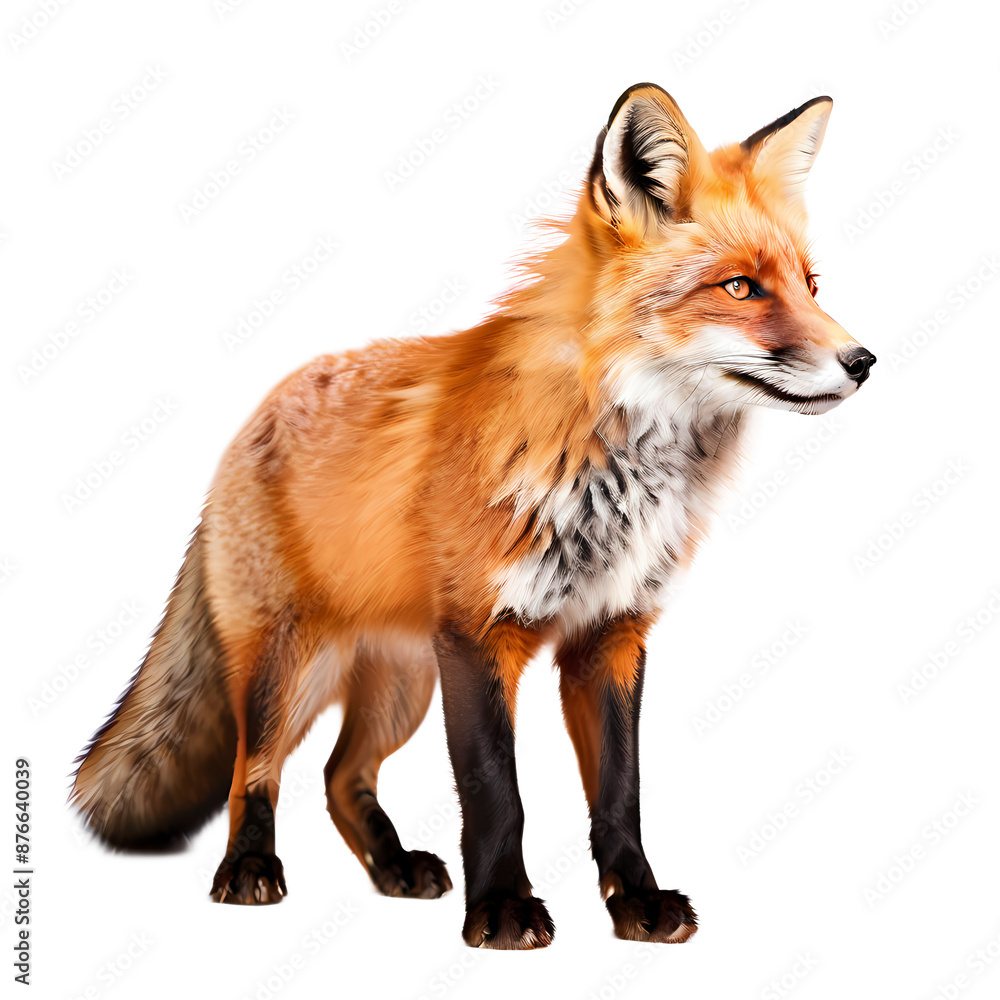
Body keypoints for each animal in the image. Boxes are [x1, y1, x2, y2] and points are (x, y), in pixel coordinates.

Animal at [70, 82, 875, 949]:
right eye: (739, 288)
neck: (605, 464)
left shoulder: (611, 635)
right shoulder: (481, 636)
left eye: (811, 285)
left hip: (402, 683)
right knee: (254, 769)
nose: (863, 361)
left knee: (341, 775)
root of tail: (252, 421)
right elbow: (497, 793)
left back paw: (394, 867)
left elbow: (620, 794)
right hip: (289, 665)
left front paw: (636, 900)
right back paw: (249, 868)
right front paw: (502, 909)